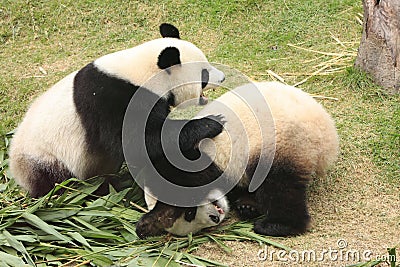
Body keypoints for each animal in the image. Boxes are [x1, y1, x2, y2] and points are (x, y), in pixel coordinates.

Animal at [9, 23, 225, 198]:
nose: (222, 77)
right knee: (58, 181)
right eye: (204, 74)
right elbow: (138, 140)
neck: (141, 71)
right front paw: (212, 123)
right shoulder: (113, 99)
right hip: (45, 159)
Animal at [136, 81, 340, 239]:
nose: (215, 218)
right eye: (191, 218)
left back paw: (276, 226)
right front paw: (247, 205)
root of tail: (326, 138)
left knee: (278, 186)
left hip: (281, 142)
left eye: (189, 213)